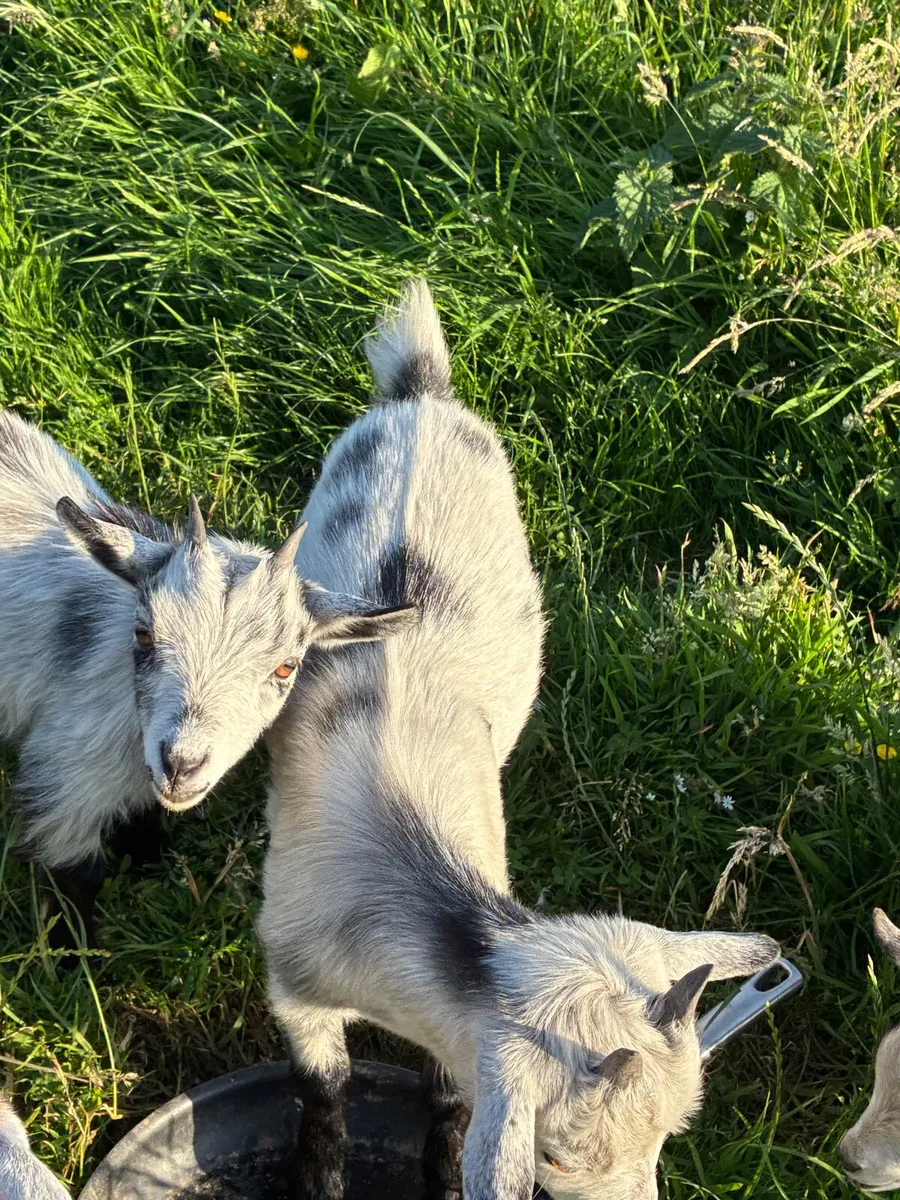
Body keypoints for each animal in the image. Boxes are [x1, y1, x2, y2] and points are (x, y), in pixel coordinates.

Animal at [0, 410, 415, 947]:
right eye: (144, 633)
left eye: (286, 666)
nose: (182, 765)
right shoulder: (61, 778)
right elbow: (76, 876)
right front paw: (73, 954)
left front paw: (148, 852)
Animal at [259, 280, 780, 1200]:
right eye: (557, 1156)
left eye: (668, 1138)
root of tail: (422, 396)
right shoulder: (292, 982)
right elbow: (322, 1089)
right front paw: (318, 1177)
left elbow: (450, 1098)